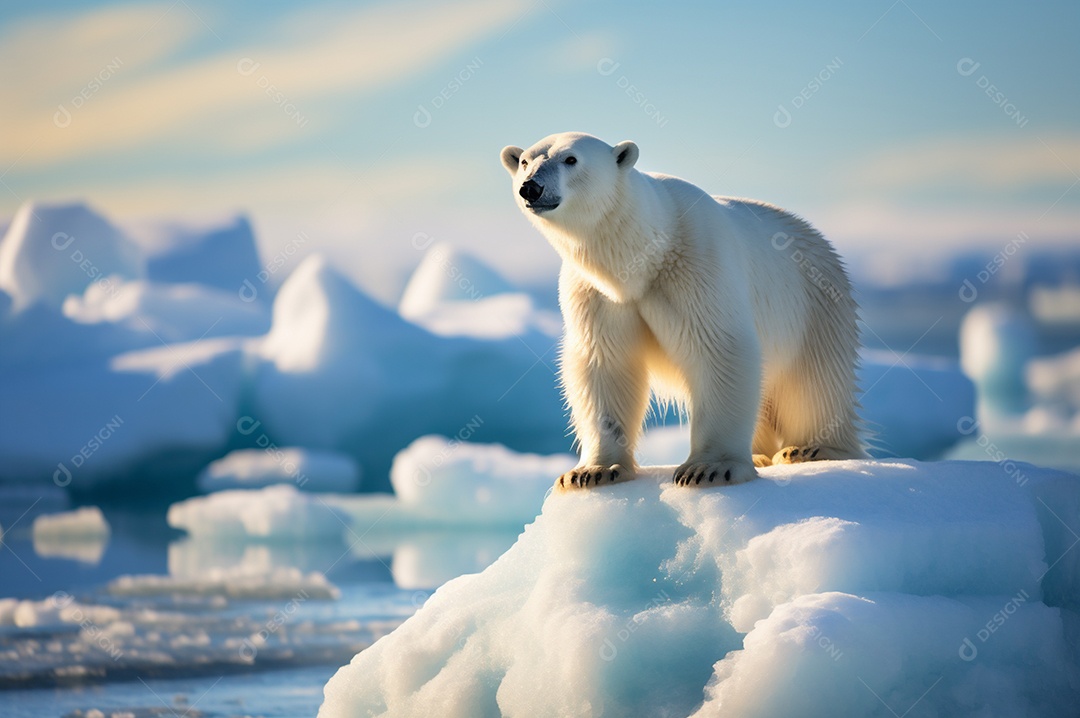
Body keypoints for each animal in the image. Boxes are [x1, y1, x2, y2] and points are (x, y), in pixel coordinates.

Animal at [500, 132, 866, 490]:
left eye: (571, 158)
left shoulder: (696, 266)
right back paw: (761, 454)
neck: (644, 253)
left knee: (814, 384)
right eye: (525, 161)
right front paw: (592, 471)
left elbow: (718, 348)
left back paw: (810, 449)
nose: (531, 187)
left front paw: (710, 468)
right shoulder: (596, 293)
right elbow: (604, 363)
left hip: (816, 304)